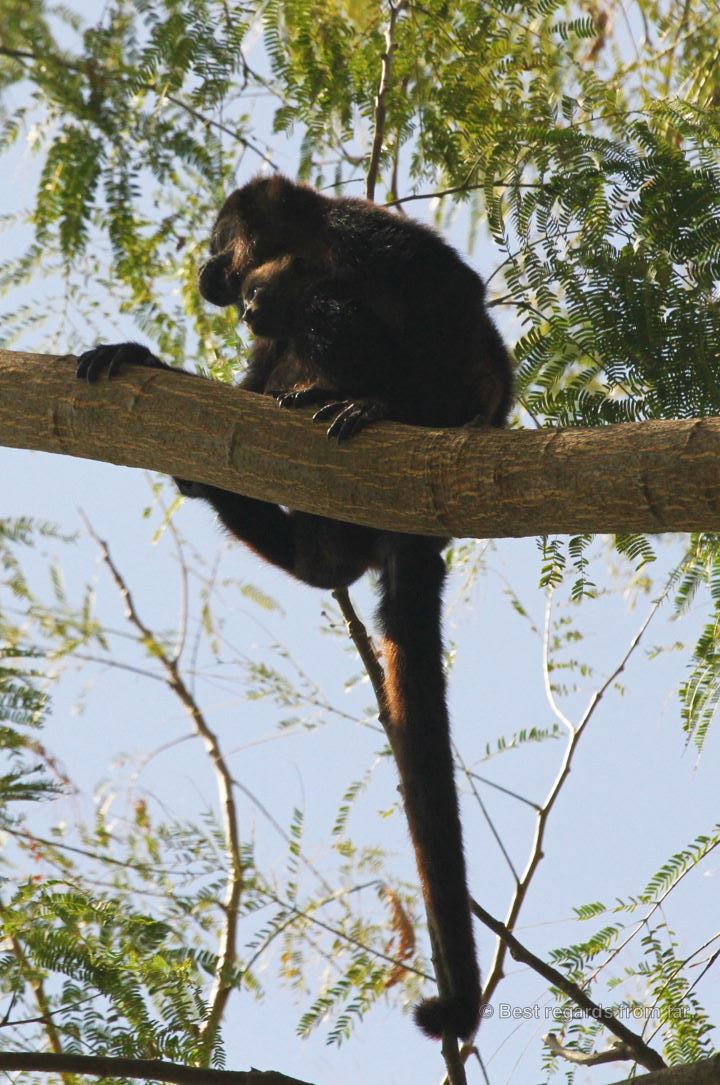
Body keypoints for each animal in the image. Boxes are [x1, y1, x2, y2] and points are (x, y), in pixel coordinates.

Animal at [76, 174, 513, 1041]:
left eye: (219, 239)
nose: (208, 272)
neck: (316, 242)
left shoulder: (372, 236)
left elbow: (455, 293)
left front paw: (405, 396)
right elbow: (244, 386)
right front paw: (144, 357)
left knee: (336, 312)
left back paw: (373, 400)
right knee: (319, 558)